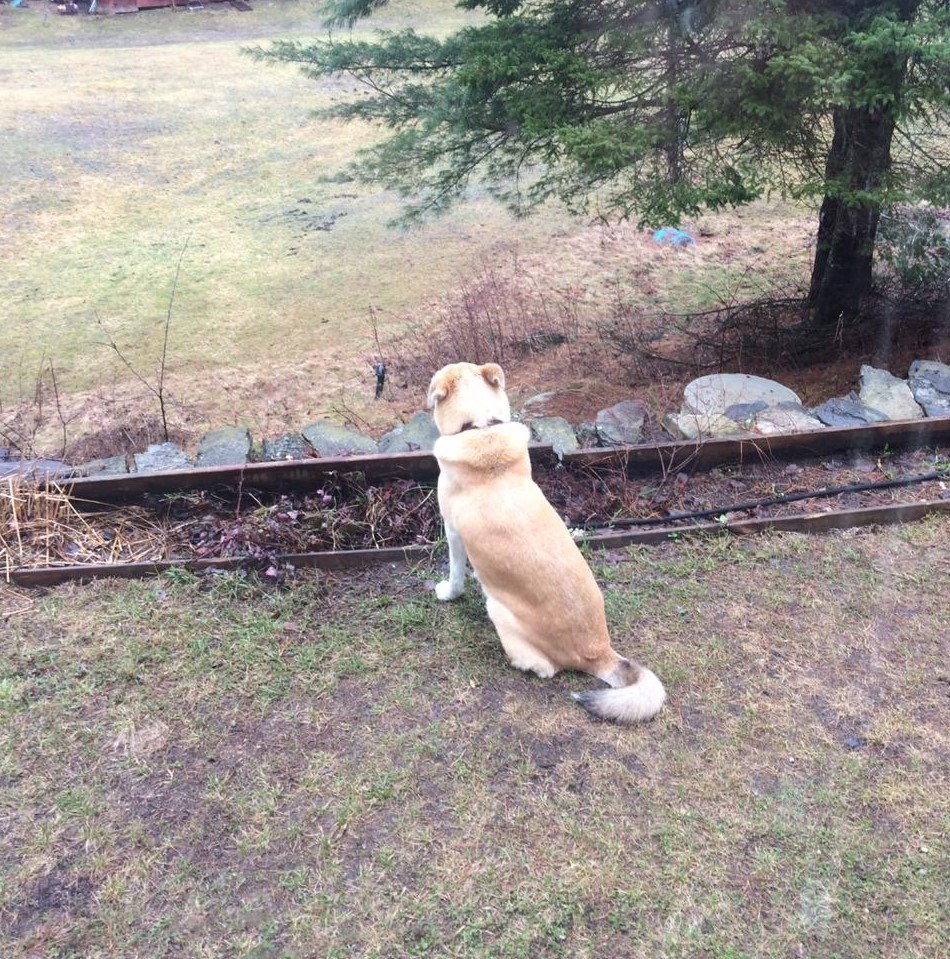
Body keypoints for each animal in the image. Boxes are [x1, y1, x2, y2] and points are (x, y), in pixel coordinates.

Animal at [428, 364, 664, 724]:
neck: (481, 429)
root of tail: (599, 652)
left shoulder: (453, 533)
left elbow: (455, 574)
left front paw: (447, 593)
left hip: (497, 607)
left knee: (545, 668)